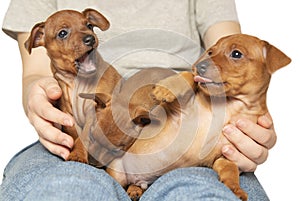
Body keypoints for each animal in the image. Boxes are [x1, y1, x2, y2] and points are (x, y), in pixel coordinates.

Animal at [24, 8, 123, 165]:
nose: (91, 39)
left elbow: (83, 137)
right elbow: (76, 135)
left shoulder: (92, 112)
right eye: (62, 33)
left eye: (89, 25)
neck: (77, 82)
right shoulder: (69, 118)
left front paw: (77, 155)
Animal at [105, 33, 290, 200]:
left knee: (134, 184)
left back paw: (135, 190)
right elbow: (189, 78)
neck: (229, 107)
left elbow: (231, 170)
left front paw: (234, 189)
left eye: (236, 54)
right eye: (210, 52)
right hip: (116, 172)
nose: (199, 66)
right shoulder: (178, 109)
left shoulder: (224, 156)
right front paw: (165, 89)